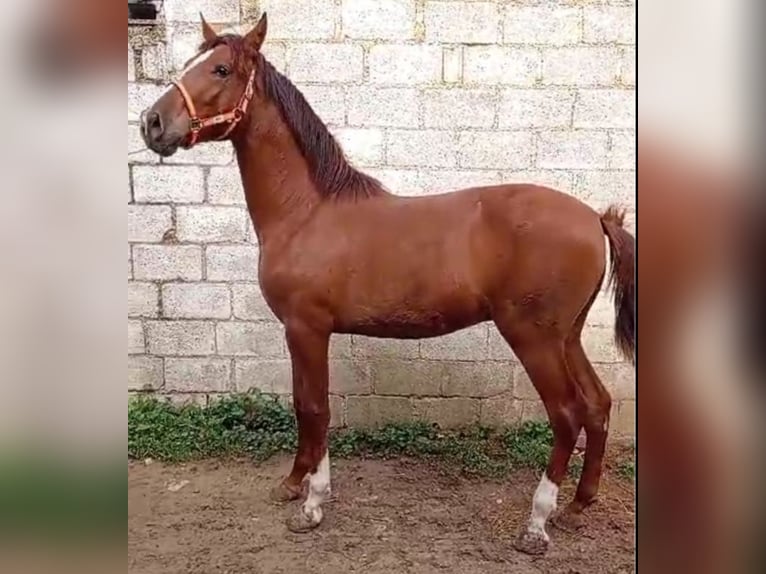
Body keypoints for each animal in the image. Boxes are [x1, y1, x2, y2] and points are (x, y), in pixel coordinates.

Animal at [141, 12, 640, 552]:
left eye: (221, 69)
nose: (152, 123)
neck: (307, 212)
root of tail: (595, 217)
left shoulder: (307, 328)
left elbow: (315, 408)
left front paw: (312, 505)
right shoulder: (298, 332)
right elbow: (301, 404)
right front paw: (293, 484)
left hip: (535, 339)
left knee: (567, 414)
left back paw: (537, 523)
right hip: (566, 337)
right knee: (598, 404)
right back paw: (578, 505)